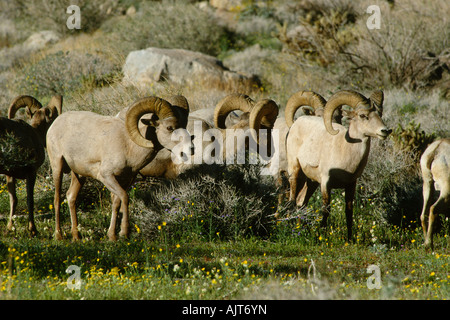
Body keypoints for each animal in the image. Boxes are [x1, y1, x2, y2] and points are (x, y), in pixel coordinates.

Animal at [1, 94, 62, 235]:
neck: (35, 133)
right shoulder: (31, 173)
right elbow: (30, 200)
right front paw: (33, 230)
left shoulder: (10, 175)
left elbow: (13, 200)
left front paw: (10, 227)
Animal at [46, 96, 191, 241]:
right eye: (170, 127)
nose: (190, 149)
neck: (129, 147)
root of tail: (55, 124)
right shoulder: (106, 176)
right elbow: (125, 198)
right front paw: (124, 232)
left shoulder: (123, 181)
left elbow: (116, 203)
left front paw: (112, 235)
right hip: (57, 167)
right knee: (57, 199)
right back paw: (58, 235)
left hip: (79, 175)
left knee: (71, 197)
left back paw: (76, 236)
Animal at [288, 90, 390, 240]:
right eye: (362, 115)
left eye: (379, 114)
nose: (385, 131)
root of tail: (298, 122)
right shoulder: (326, 184)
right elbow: (326, 209)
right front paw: (322, 234)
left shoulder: (350, 185)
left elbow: (349, 211)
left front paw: (350, 238)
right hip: (295, 172)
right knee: (292, 200)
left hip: (312, 181)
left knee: (301, 202)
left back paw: (300, 229)